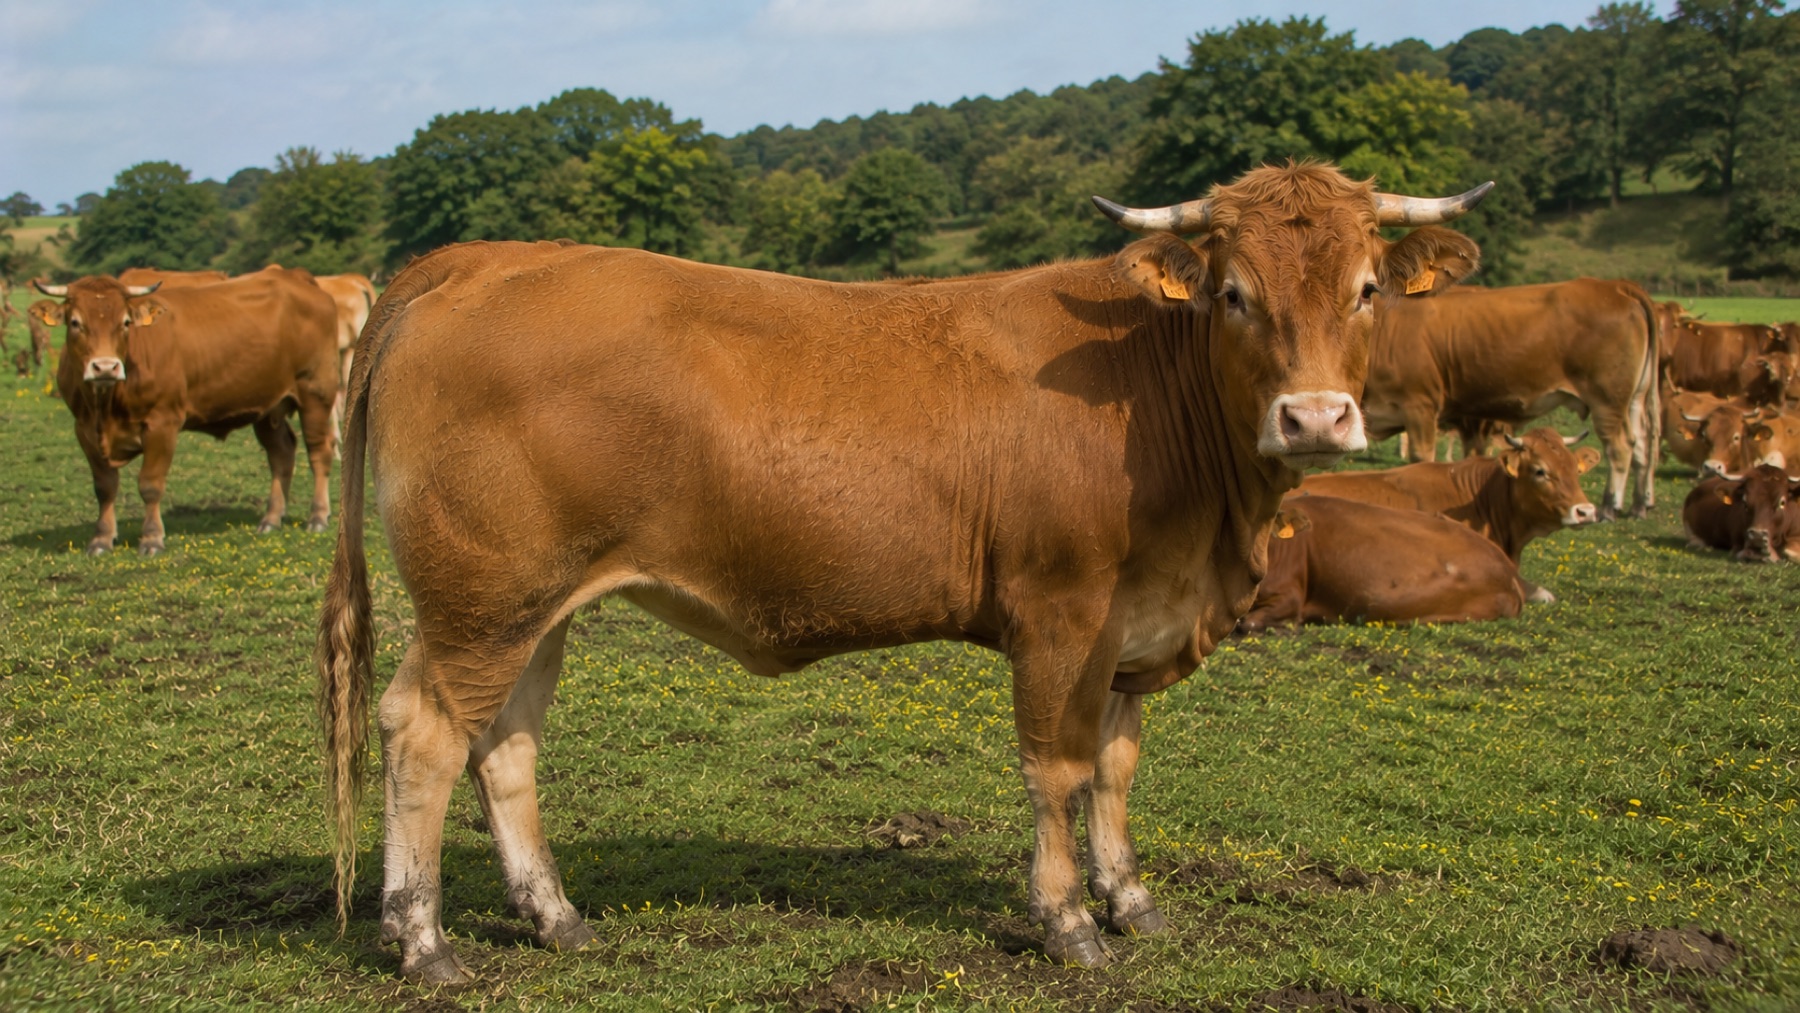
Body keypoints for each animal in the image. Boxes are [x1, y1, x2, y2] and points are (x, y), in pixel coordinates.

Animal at [31, 267, 340, 555]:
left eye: (126, 322)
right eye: (75, 322)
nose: (105, 367)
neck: (106, 407)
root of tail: (295, 276)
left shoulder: (162, 423)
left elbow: (150, 484)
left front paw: (152, 538)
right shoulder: (84, 428)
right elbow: (104, 486)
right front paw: (101, 539)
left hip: (316, 392)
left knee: (319, 451)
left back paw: (317, 517)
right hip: (267, 406)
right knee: (281, 454)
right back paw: (271, 519)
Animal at [315, 164, 1491, 981]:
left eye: (1369, 287)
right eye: (1236, 293)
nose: (1315, 418)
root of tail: (474, 258)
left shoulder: (1135, 626)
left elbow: (1116, 769)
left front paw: (1132, 897)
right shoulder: (1061, 614)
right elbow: (1058, 769)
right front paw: (1068, 920)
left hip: (535, 605)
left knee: (505, 742)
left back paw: (555, 915)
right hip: (481, 601)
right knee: (423, 732)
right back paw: (421, 940)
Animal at [1360, 278, 1659, 518]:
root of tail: (1615, 286)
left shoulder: (1420, 406)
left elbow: (1421, 457)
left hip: (1608, 402)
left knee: (1621, 448)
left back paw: (1611, 506)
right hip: (1634, 400)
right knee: (1643, 444)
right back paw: (1639, 504)